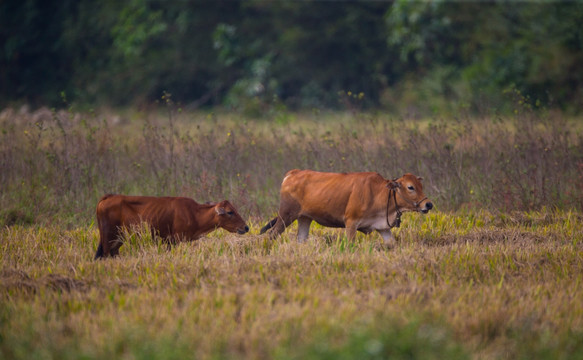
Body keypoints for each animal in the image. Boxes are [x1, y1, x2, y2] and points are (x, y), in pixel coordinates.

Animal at [95, 194, 249, 258]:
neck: (194, 214)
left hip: (119, 238)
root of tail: (108, 197)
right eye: (230, 212)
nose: (246, 227)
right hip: (109, 236)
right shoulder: (173, 240)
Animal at [260, 170, 434, 246]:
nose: (428, 204)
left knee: (301, 239)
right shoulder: (351, 223)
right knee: (272, 234)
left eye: (421, 186)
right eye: (410, 187)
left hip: (304, 218)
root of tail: (292, 173)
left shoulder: (383, 228)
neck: (379, 192)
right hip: (286, 215)